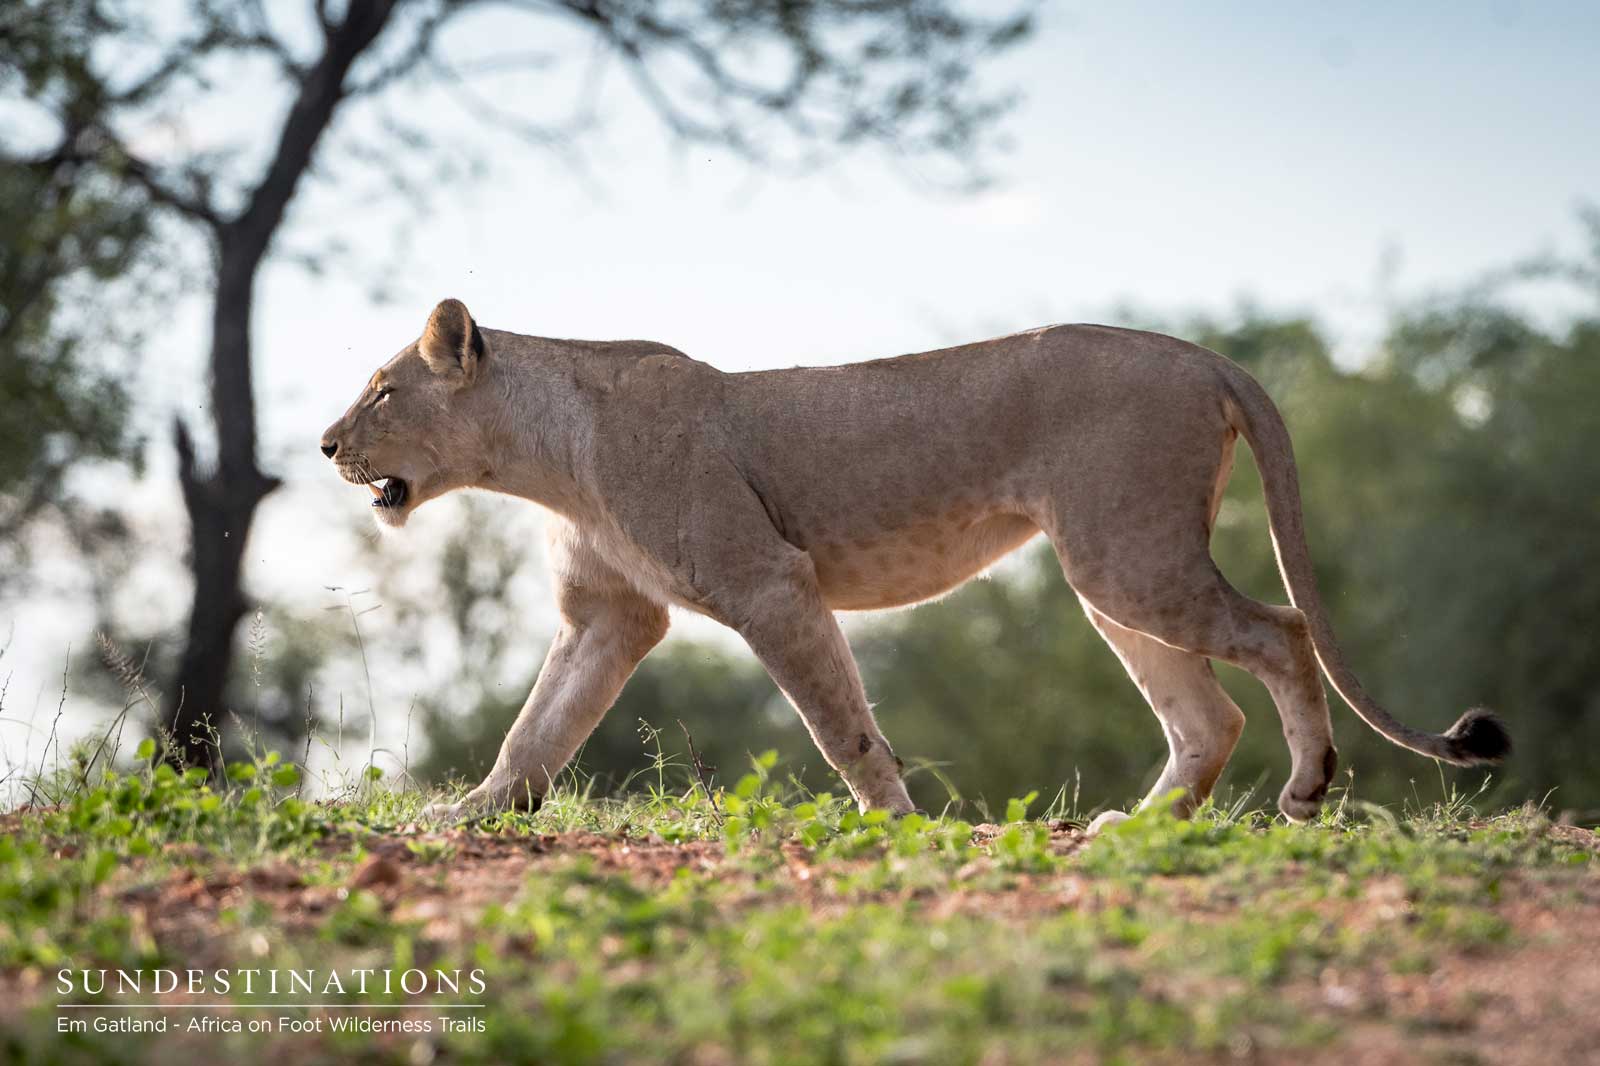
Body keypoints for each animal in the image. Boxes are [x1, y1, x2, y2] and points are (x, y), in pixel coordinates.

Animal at [320, 298, 1509, 828]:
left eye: (382, 389)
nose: (327, 445)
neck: (547, 459)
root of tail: (1203, 354)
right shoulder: (609, 617)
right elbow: (538, 728)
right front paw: (466, 814)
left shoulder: (769, 581)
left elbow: (840, 725)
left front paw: (891, 824)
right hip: (1112, 572)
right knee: (1208, 714)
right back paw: (1135, 828)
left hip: (1127, 558)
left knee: (1284, 630)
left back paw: (1306, 790)